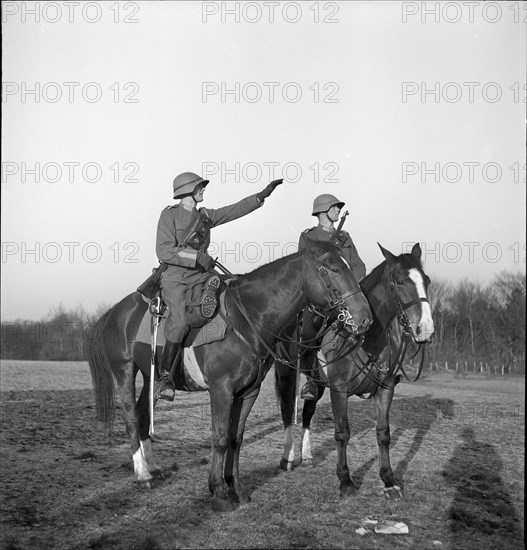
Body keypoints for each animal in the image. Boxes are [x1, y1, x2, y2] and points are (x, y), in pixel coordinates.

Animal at [87, 244, 372, 516]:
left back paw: (154, 467)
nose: (365, 317)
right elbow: (221, 437)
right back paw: (143, 472)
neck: (246, 319)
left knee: (144, 415)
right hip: (124, 371)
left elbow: (236, 438)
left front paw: (235, 488)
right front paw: (219, 493)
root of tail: (115, 311)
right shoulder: (221, 390)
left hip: (151, 376)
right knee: (131, 418)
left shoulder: (248, 392)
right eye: (334, 269)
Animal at [274, 244, 436, 502]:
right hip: (286, 372)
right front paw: (345, 481)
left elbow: (383, 434)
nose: (425, 330)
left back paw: (306, 455)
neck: (368, 338)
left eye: (427, 281)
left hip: (317, 384)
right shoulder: (339, 391)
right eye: (400, 281)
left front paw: (389, 481)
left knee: (308, 411)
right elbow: (342, 433)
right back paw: (288, 458)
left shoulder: (385, 390)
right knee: (288, 410)